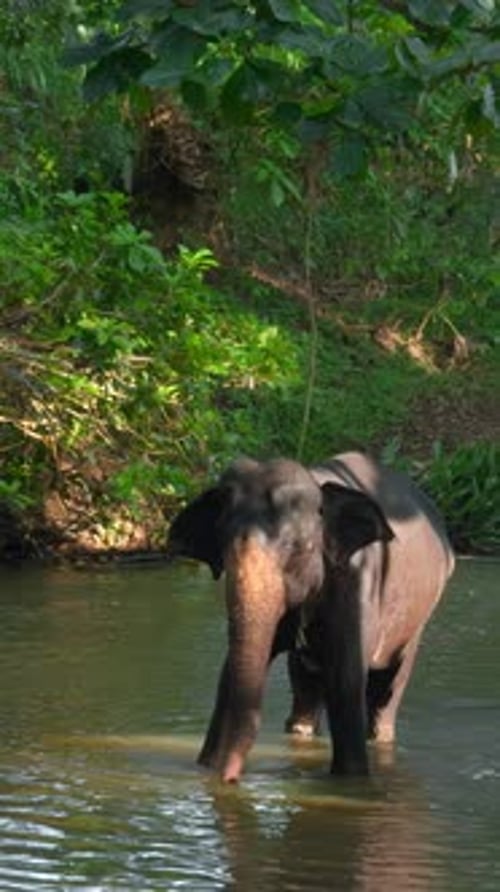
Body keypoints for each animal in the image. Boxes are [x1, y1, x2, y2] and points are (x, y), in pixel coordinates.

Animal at [167, 451, 454, 781]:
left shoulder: (358, 580)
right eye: (224, 547)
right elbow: (228, 678)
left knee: (390, 687)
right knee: (304, 687)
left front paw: (351, 781)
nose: (229, 779)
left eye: (299, 548)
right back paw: (300, 731)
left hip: (419, 615)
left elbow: (346, 681)